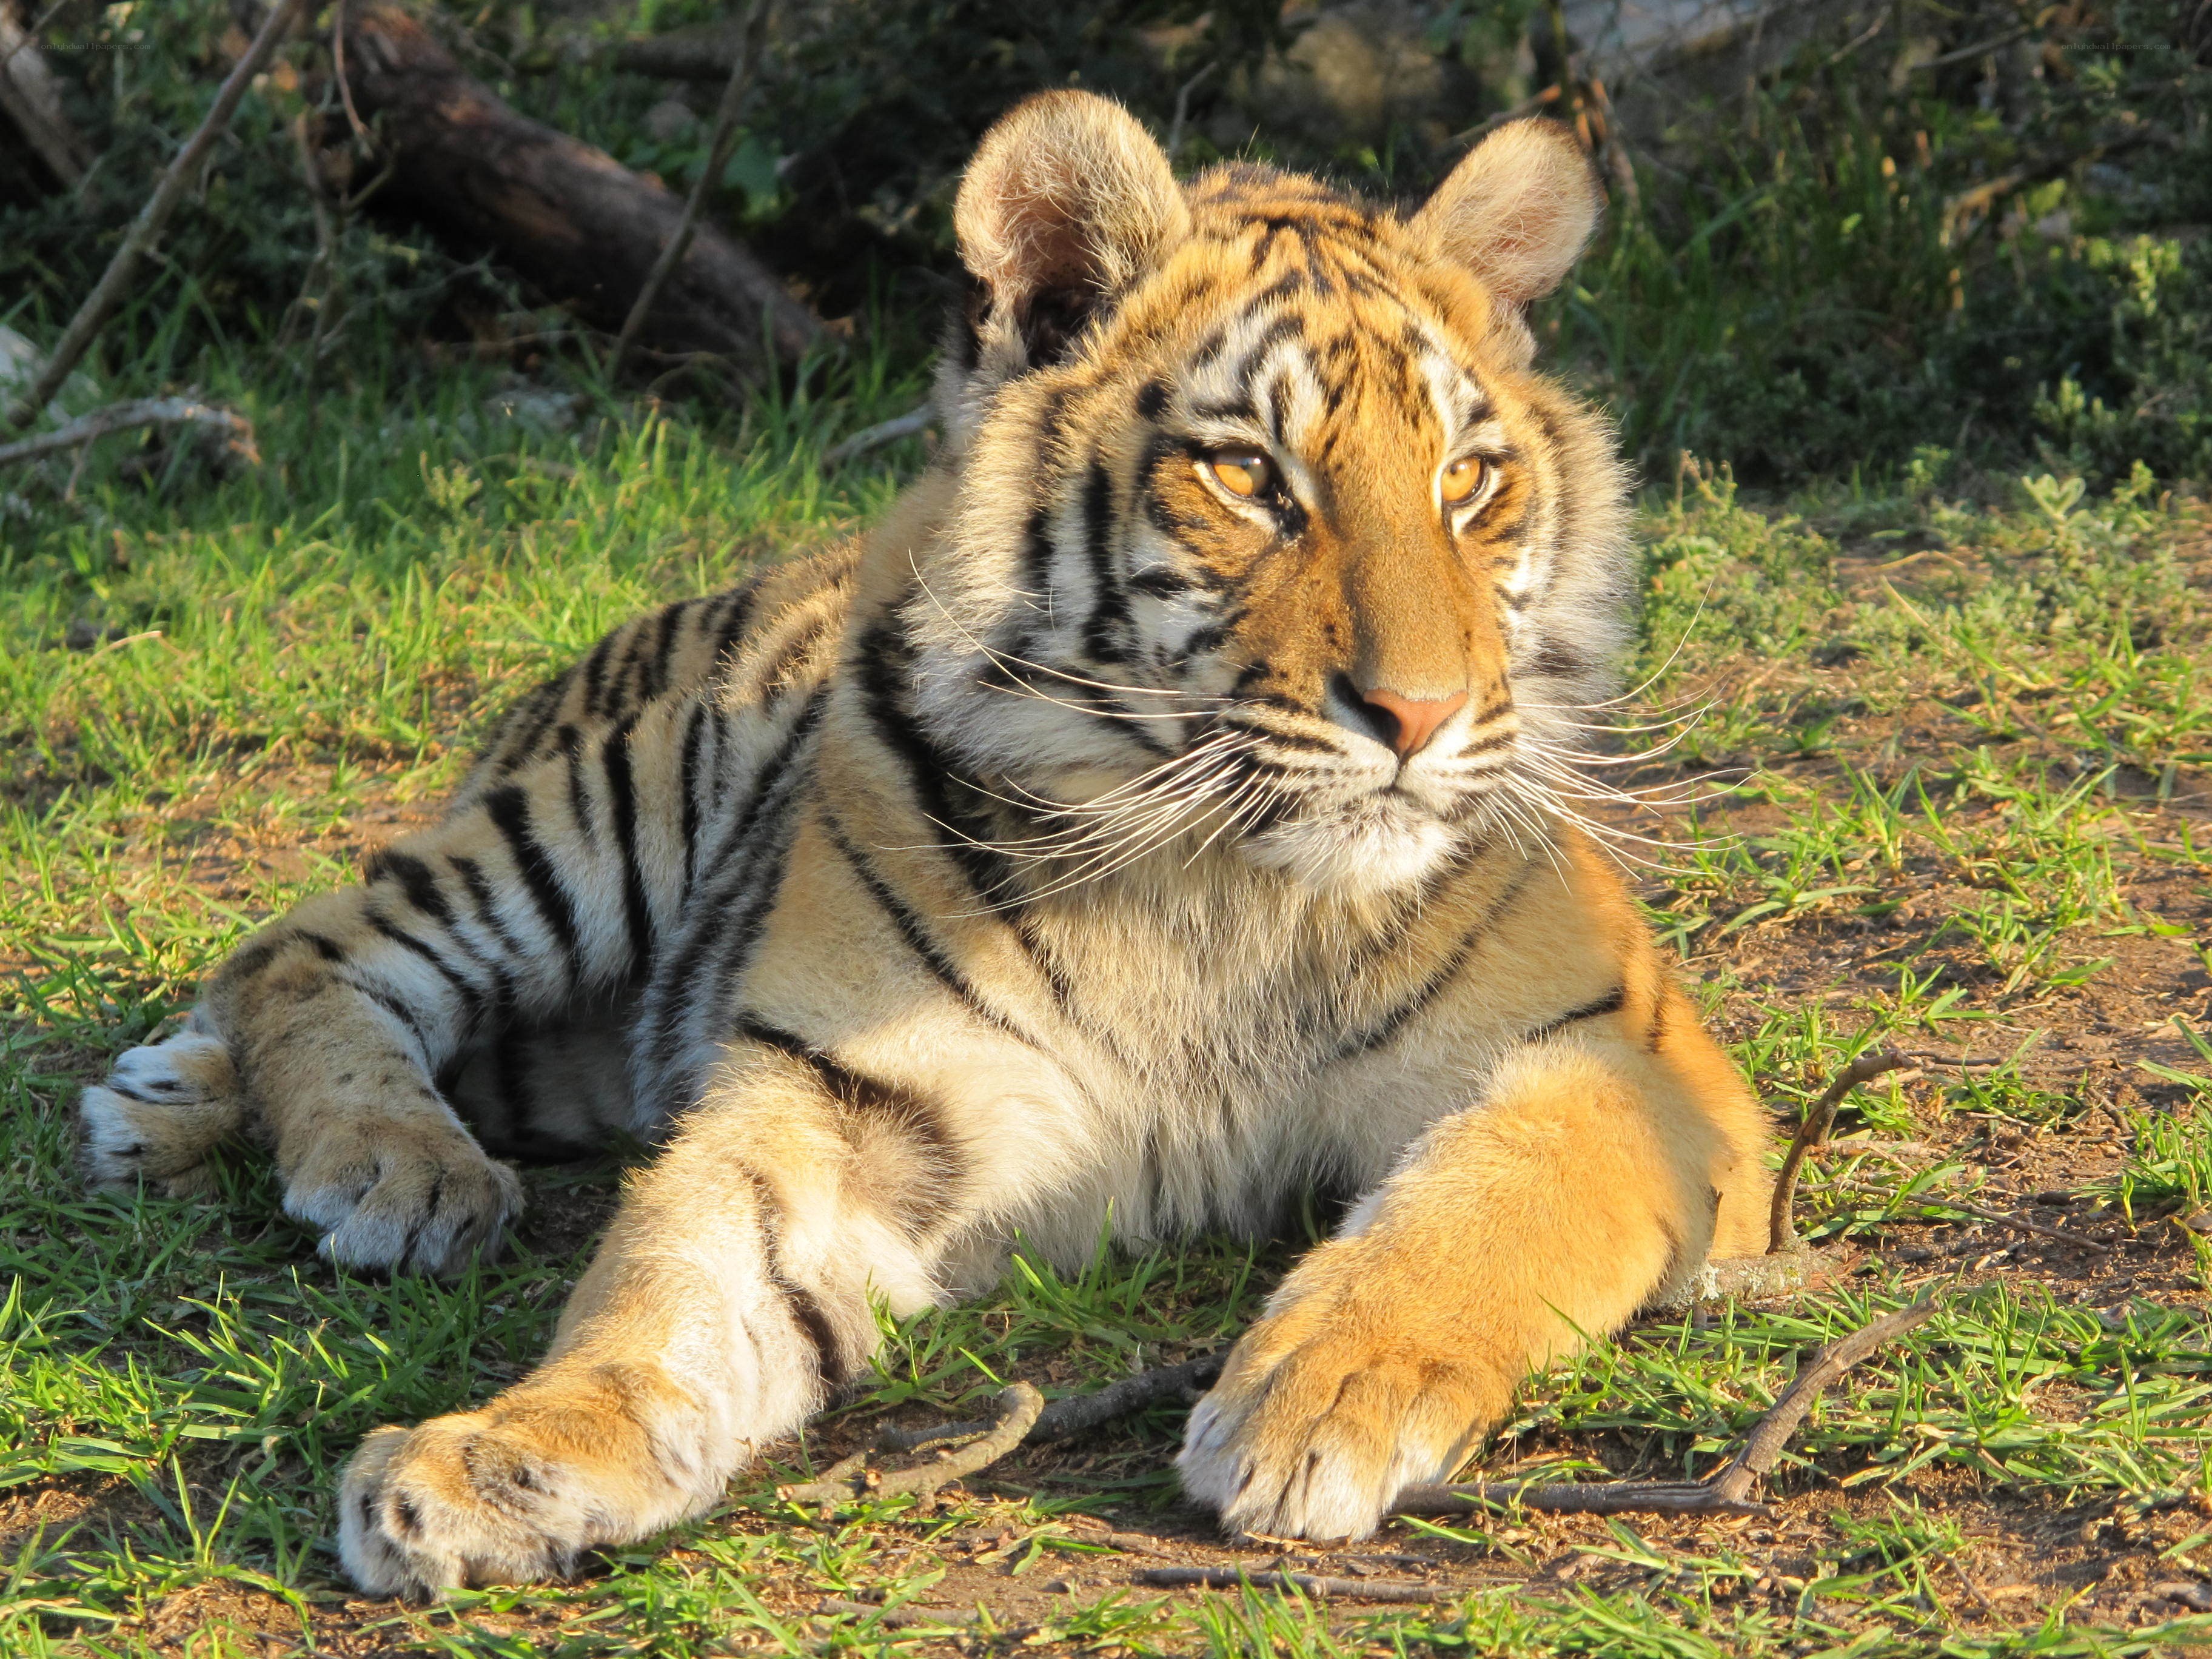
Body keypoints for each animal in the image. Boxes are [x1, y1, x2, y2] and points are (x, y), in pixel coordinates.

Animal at [77, 92, 1772, 1596]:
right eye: (1246, 475)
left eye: (1468, 480)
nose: (1422, 714)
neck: (1224, 872)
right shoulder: (844, 1095)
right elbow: (667, 1282)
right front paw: (500, 1452)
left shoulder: (1623, 1059)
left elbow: (1479, 1212)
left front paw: (1324, 1401)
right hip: (607, 806)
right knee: (303, 941)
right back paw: (379, 1160)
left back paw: (164, 1108)